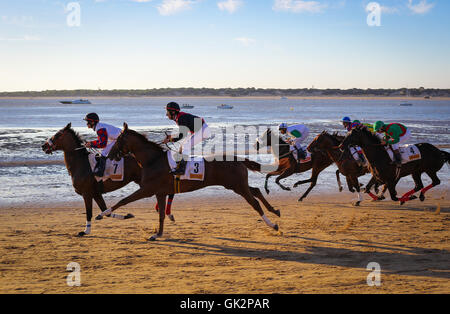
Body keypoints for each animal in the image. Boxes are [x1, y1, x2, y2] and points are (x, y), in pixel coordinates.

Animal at [98, 122, 282, 240]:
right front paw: (157, 233)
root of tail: (238, 158)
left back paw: (273, 225)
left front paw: (103, 213)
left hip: (238, 186)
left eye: (118, 140)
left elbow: (123, 200)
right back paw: (275, 211)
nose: (109, 155)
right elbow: (161, 215)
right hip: (236, 184)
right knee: (256, 191)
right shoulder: (160, 192)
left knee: (254, 203)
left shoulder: (147, 190)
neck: (153, 160)